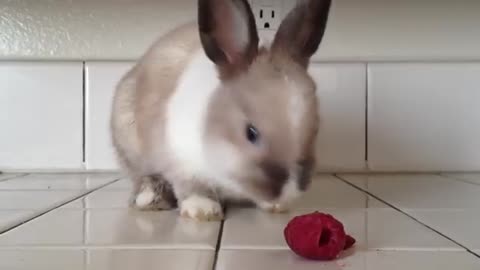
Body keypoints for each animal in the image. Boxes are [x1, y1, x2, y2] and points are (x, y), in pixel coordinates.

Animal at [110, 0, 332, 220]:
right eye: (251, 133)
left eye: (315, 129)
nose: (289, 191)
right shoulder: (180, 160)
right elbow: (192, 187)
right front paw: (203, 209)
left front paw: (275, 206)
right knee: (143, 177)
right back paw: (150, 199)